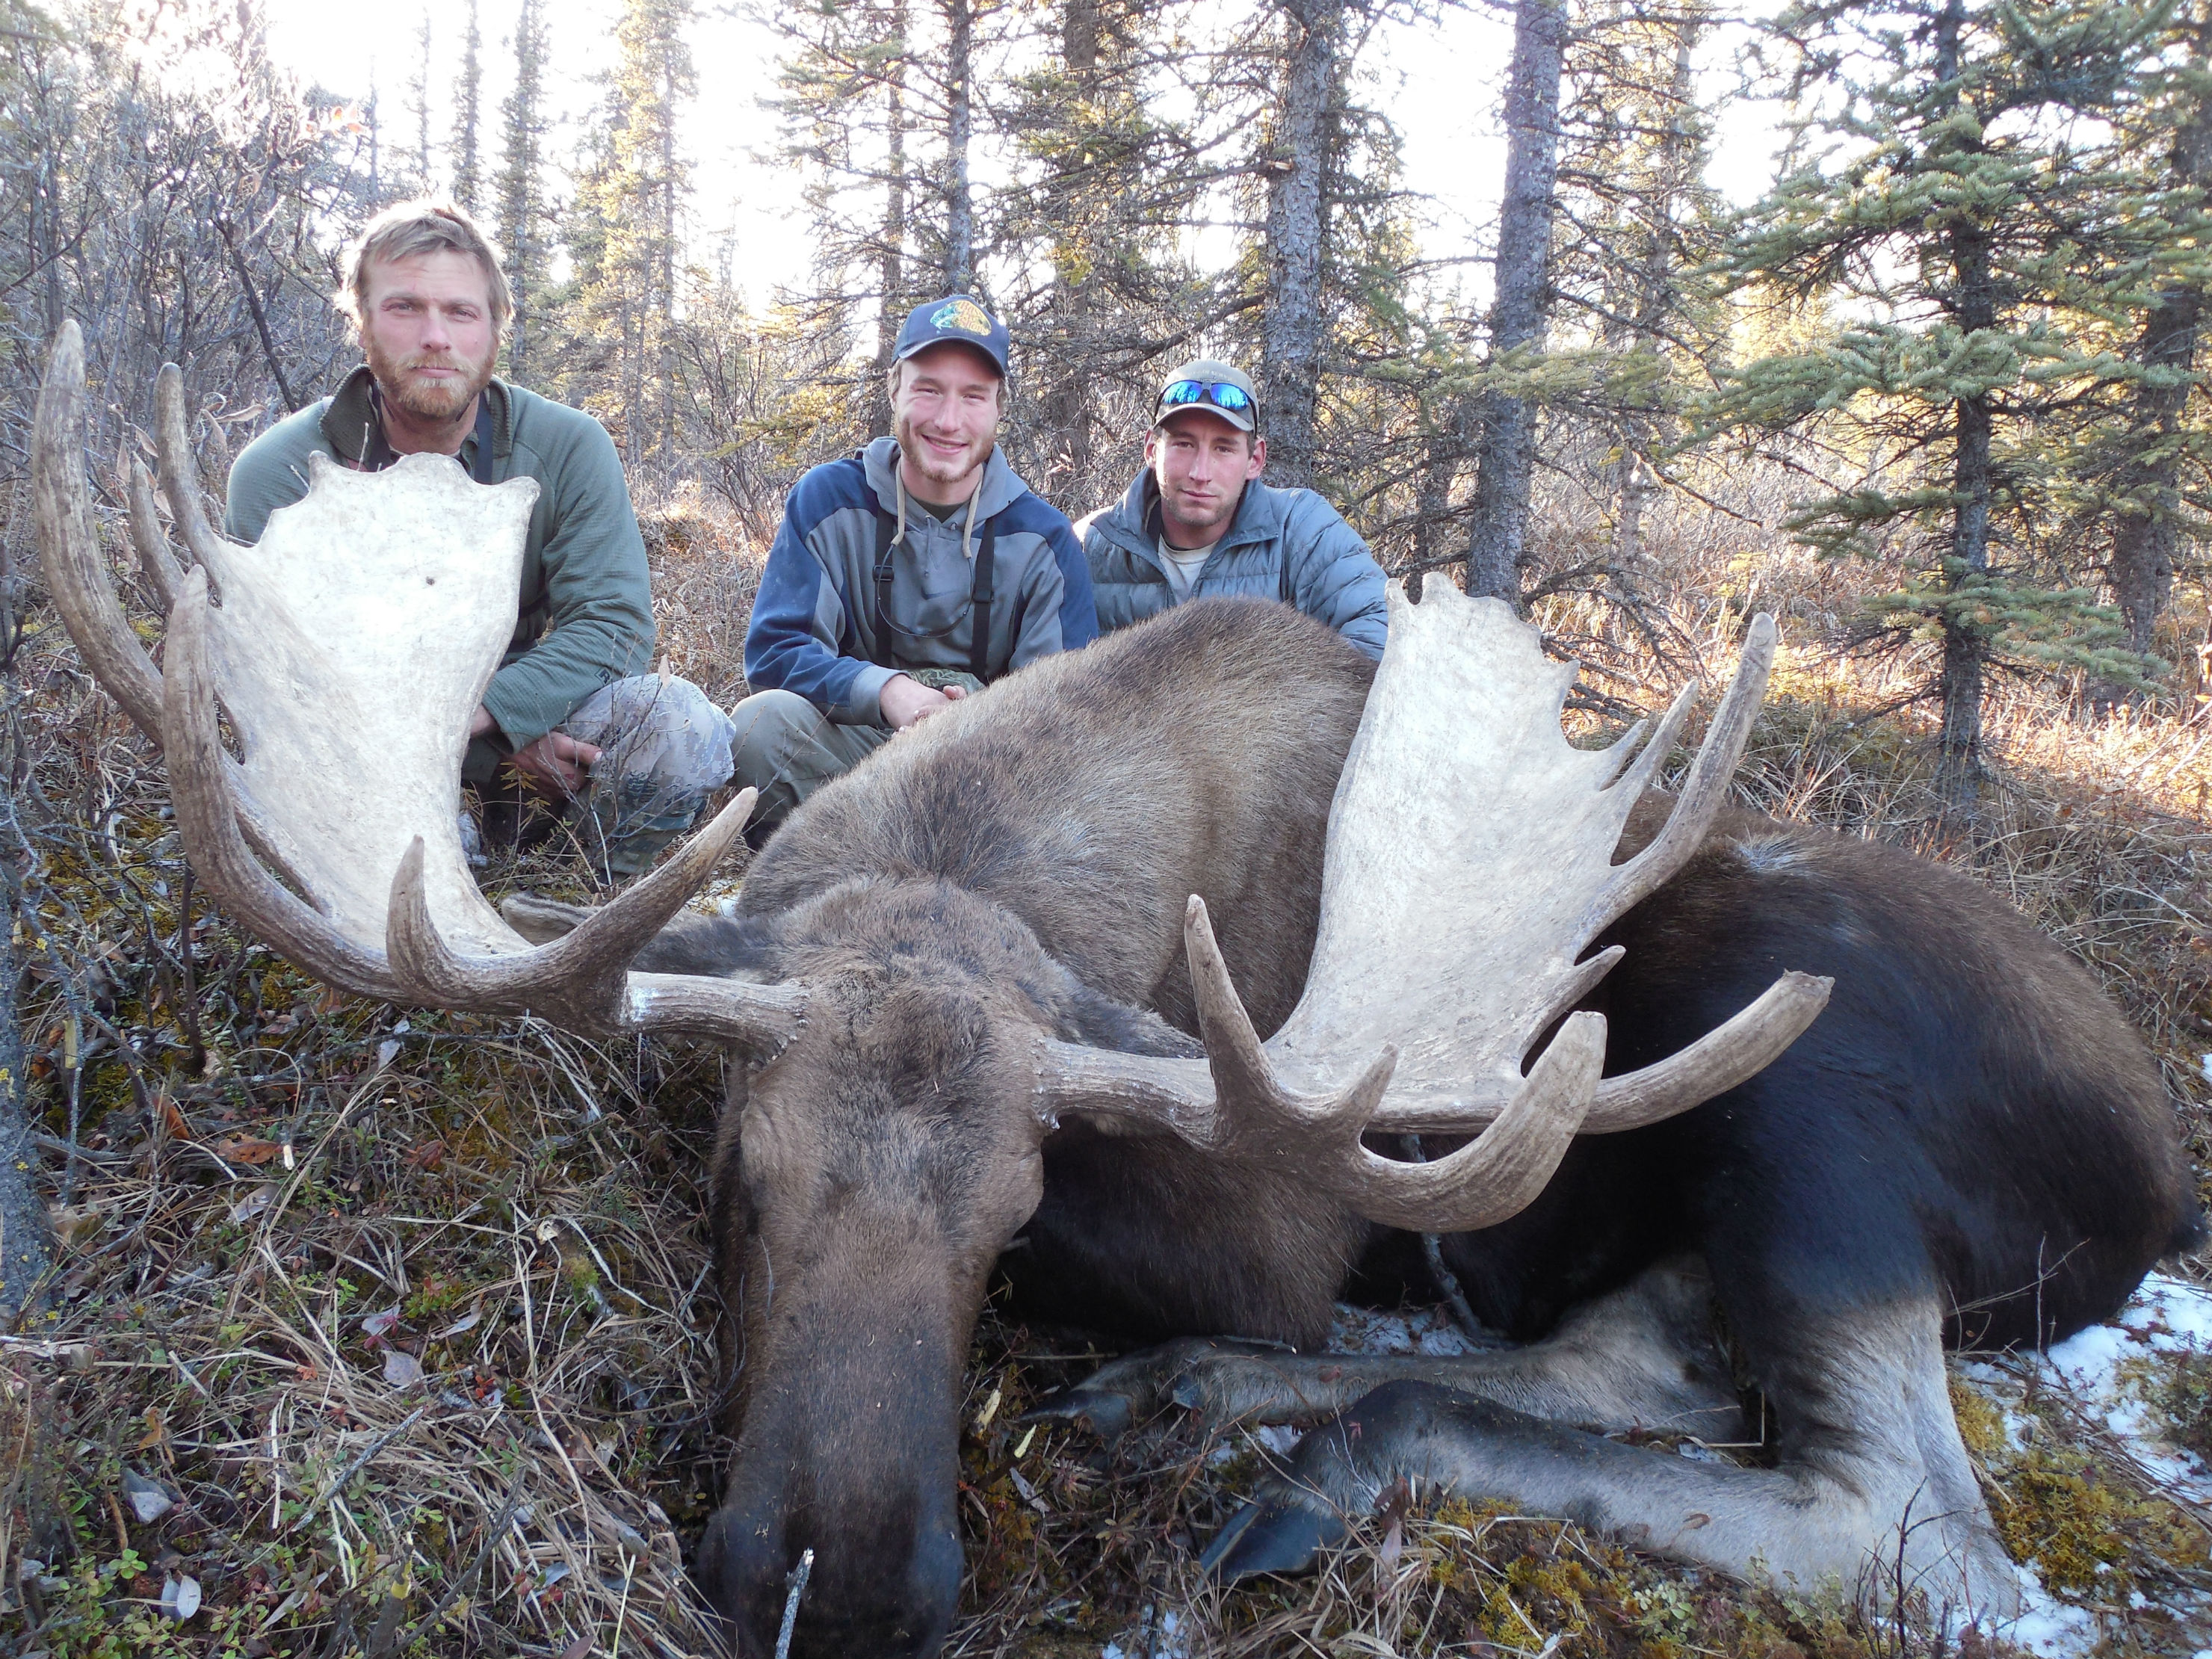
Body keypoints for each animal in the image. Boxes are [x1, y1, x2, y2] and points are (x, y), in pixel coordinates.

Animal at [34, 326, 2197, 1656]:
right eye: (743, 1181)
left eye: (1012, 1218)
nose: (845, 1586)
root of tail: (2159, 1179)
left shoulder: (1281, 1223)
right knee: (1639, 1362)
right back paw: (1247, 1416)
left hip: (1815, 1094)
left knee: (1912, 1523)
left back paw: (1304, 1451)